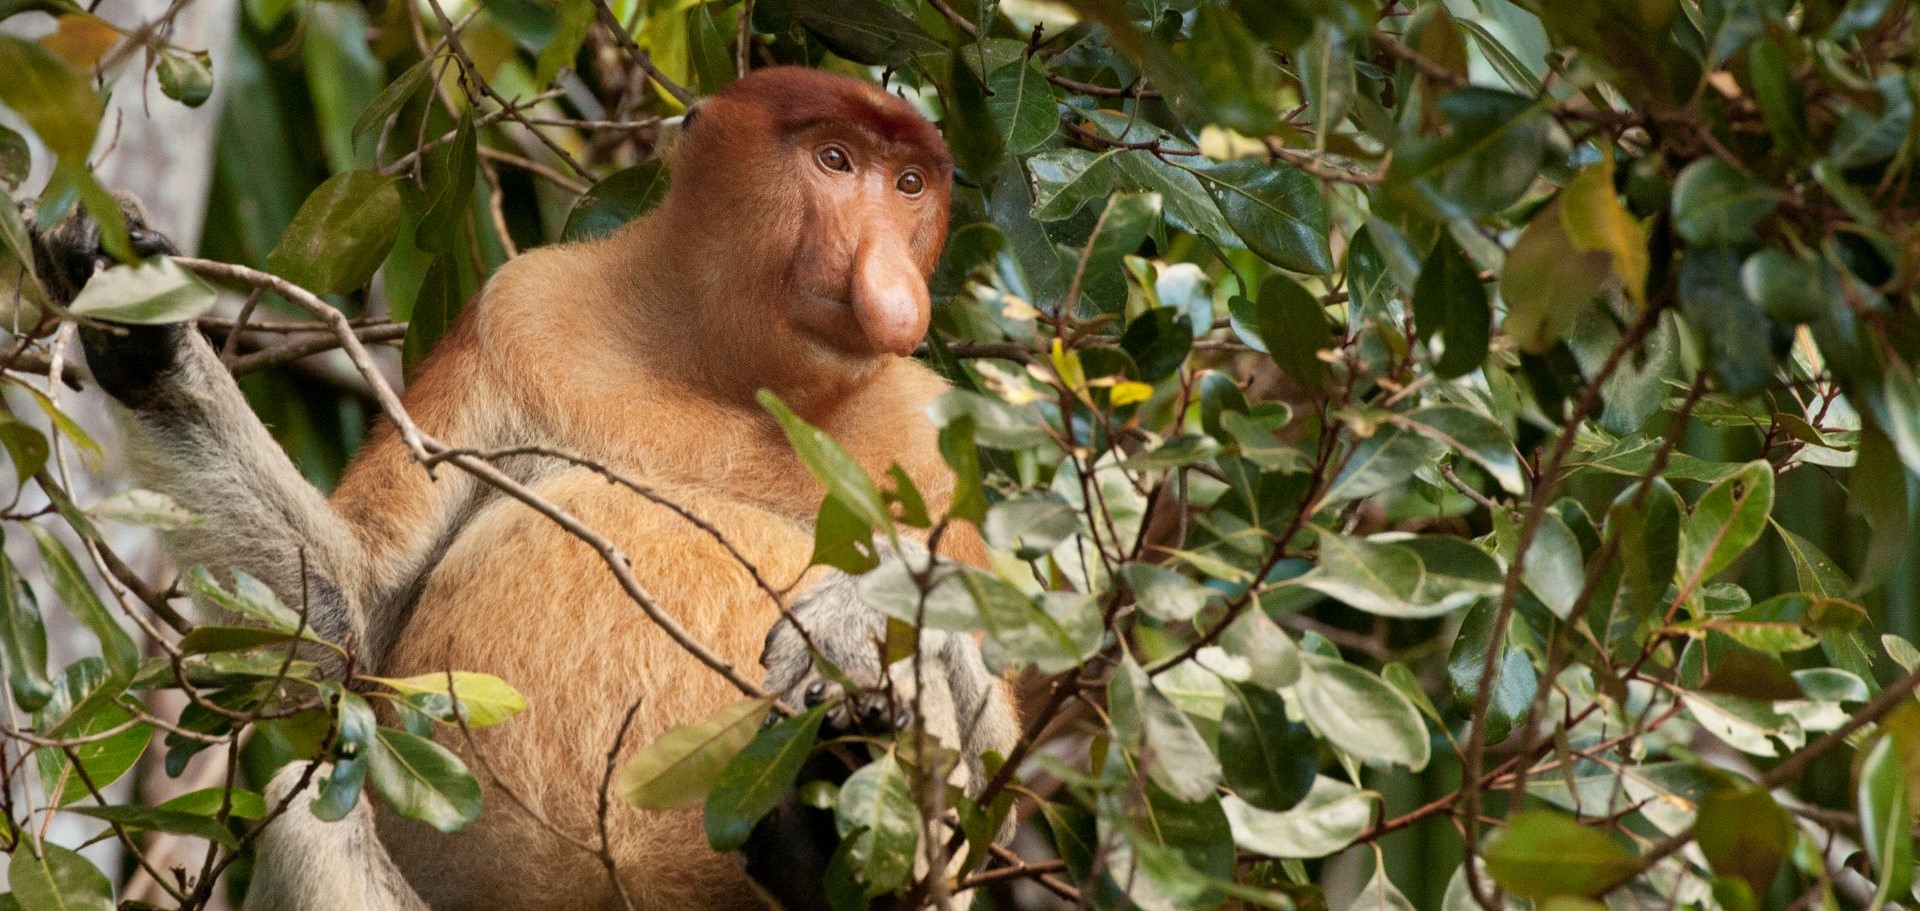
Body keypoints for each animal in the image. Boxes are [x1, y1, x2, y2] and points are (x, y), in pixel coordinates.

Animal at [49, 67, 1020, 910]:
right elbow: (344, 617)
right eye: (835, 161)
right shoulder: (521, 309)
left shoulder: (930, 433)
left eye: (908, 184)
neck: (728, 373)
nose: (891, 277)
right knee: (310, 808)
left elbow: (1004, 749)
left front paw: (849, 621)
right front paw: (137, 325)